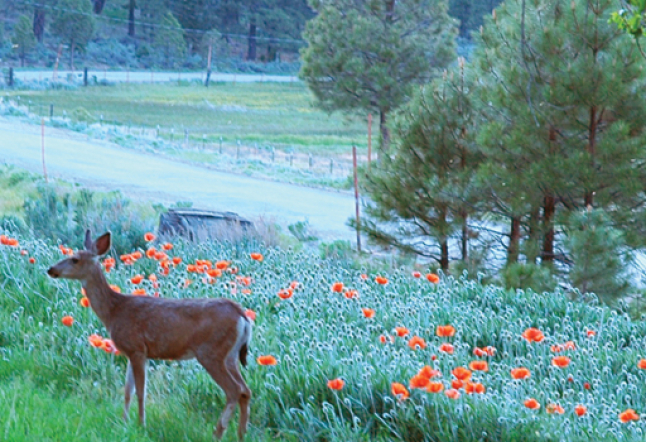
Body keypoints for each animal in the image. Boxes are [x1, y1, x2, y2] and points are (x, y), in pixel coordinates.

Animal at [45, 230, 252, 440]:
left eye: (75, 259)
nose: (51, 269)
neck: (114, 311)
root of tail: (242, 315)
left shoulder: (137, 348)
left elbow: (140, 391)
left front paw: (141, 425)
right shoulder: (131, 352)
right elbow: (127, 390)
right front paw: (123, 422)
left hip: (211, 352)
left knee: (234, 390)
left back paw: (218, 433)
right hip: (230, 356)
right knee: (245, 390)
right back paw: (241, 434)